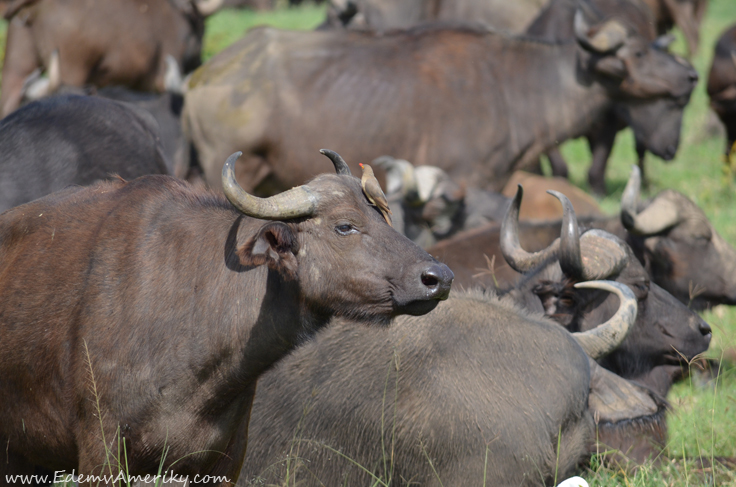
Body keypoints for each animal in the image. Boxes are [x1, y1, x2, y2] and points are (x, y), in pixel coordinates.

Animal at [0, 0, 224, 117]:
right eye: (201, 30)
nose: (199, 63)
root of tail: (36, 7)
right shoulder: (161, 79)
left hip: (16, 67)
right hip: (71, 69)